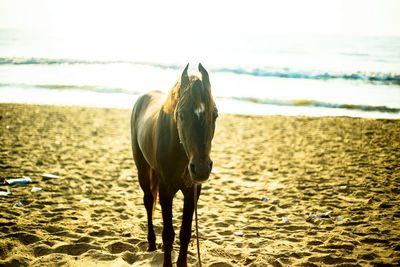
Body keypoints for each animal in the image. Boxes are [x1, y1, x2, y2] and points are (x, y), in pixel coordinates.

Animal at [130, 63, 219, 266]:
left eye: (215, 114)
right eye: (181, 114)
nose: (201, 169)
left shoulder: (193, 191)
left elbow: (185, 233)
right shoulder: (166, 190)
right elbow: (168, 233)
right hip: (143, 169)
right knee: (148, 201)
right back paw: (152, 243)